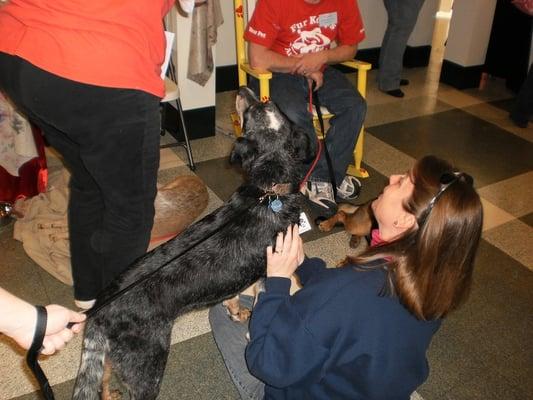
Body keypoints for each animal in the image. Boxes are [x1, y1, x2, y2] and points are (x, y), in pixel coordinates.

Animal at [70, 87, 312, 400]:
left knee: (103, 378)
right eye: (252, 110)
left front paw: (236, 313)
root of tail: (100, 311)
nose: (242, 89)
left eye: (262, 106)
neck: (268, 192)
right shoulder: (268, 275)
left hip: (112, 356)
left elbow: (232, 298)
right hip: (147, 367)